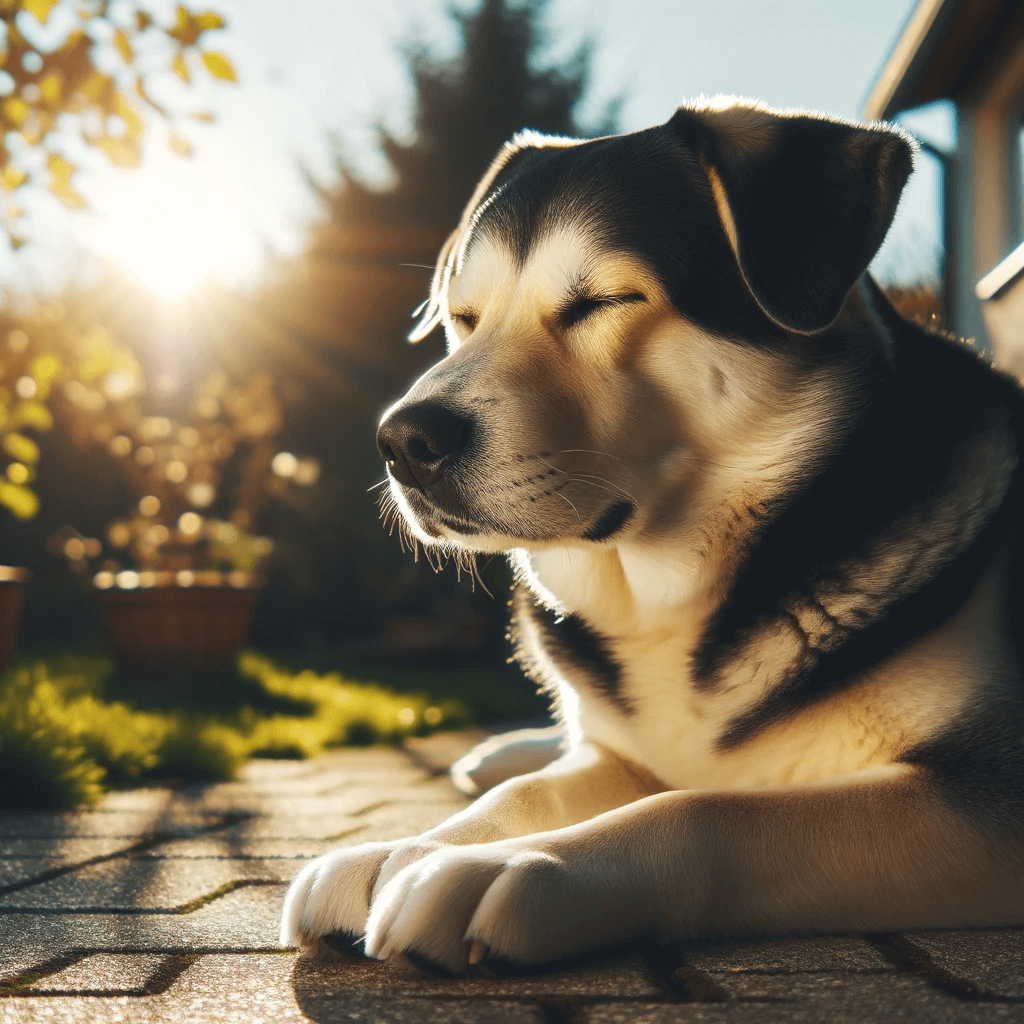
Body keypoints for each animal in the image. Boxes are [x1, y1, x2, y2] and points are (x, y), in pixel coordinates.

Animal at [278, 97, 1024, 974]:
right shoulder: (621, 756)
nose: (403, 441)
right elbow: (533, 791)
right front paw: (403, 849)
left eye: (602, 302)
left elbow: (709, 810)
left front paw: (512, 867)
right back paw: (501, 752)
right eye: (463, 318)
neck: (671, 597)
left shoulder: (992, 792)